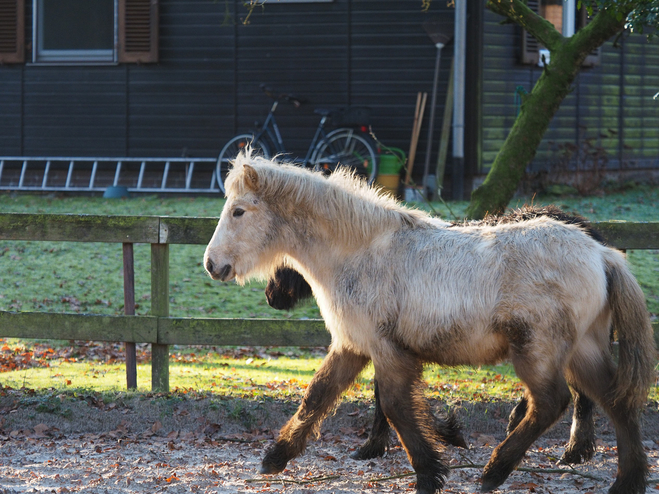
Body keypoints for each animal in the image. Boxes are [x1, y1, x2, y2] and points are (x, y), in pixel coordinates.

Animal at [264, 206, 608, 466]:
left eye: (285, 261)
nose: (271, 297)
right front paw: (443, 430)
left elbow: (383, 394)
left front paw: (376, 445)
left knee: (578, 391)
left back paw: (573, 449)